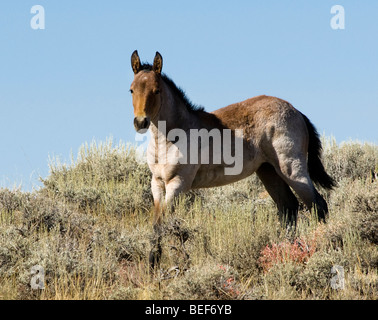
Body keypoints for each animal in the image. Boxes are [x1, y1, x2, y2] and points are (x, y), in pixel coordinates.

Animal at [128, 50, 336, 268]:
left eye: (156, 90)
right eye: (131, 90)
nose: (140, 122)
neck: (174, 135)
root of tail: (297, 112)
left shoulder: (178, 183)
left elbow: (165, 224)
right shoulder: (158, 184)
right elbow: (156, 225)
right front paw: (152, 265)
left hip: (292, 169)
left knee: (318, 205)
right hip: (269, 172)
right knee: (288, 208)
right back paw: (284, 249)